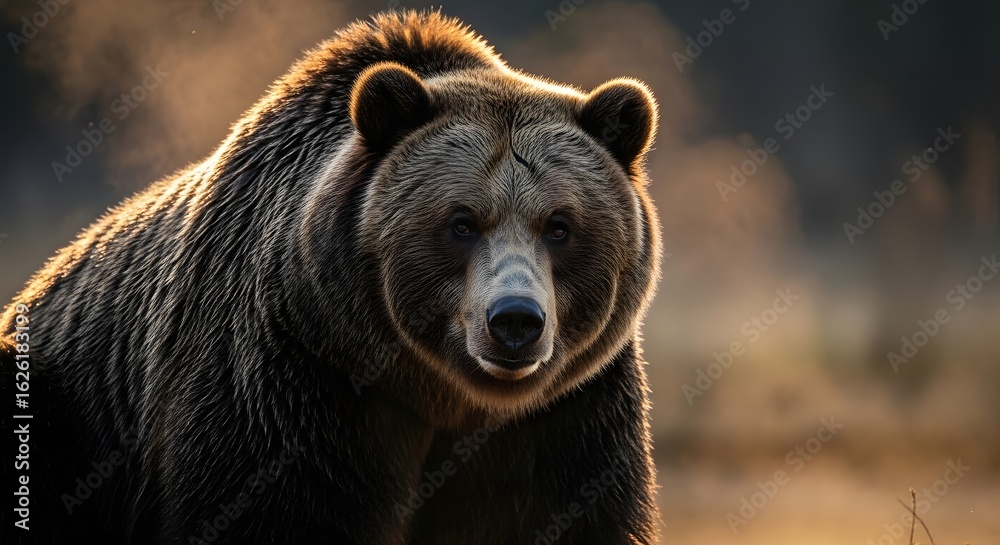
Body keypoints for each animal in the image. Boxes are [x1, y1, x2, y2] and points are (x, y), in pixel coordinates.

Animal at [1, 10, 662, 544]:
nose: (516, 321)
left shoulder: (564, 417)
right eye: (462, 221)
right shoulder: (289, 380)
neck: (438, 393)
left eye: (559, 225)